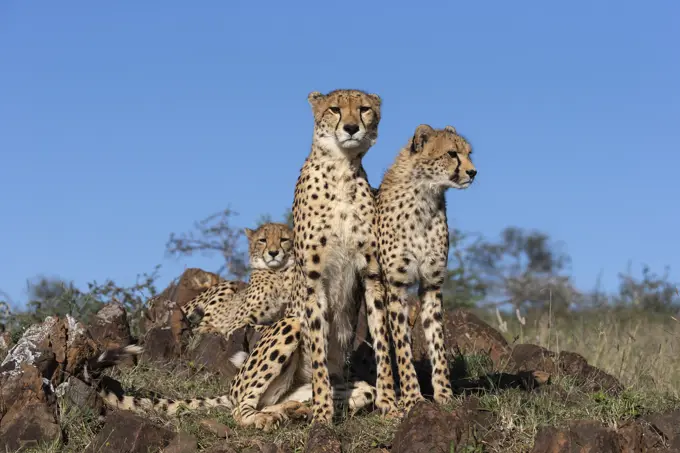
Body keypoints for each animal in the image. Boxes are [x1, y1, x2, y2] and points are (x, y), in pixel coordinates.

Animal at [378, 123, 478, 410]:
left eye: (469, 153)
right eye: (452, 153)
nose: (473, 172)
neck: (425, 196)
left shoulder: (432, 284)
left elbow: (437, 341)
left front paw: (444, 393)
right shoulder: (396, 285)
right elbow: (402, 346)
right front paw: (413, 397)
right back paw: (387, 398)